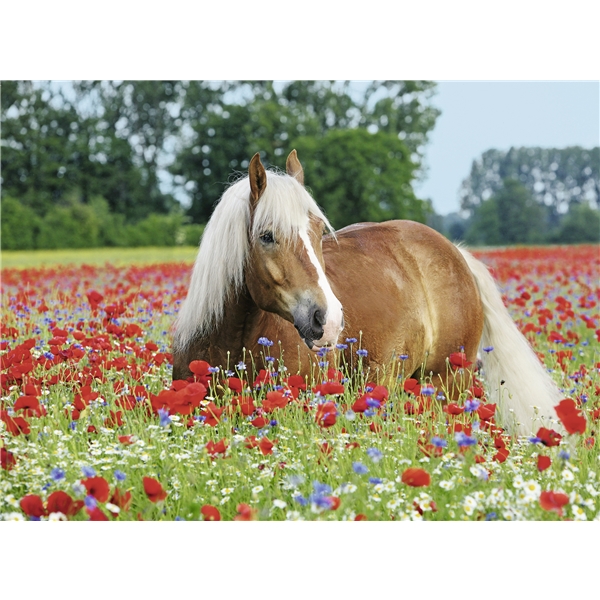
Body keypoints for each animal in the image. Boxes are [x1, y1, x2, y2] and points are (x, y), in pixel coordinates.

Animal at [172, 148, 564, 434]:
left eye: (318, 231)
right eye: (266, 236)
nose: (327, 320)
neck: (233, 340)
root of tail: (455, 252)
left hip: (448, 383)